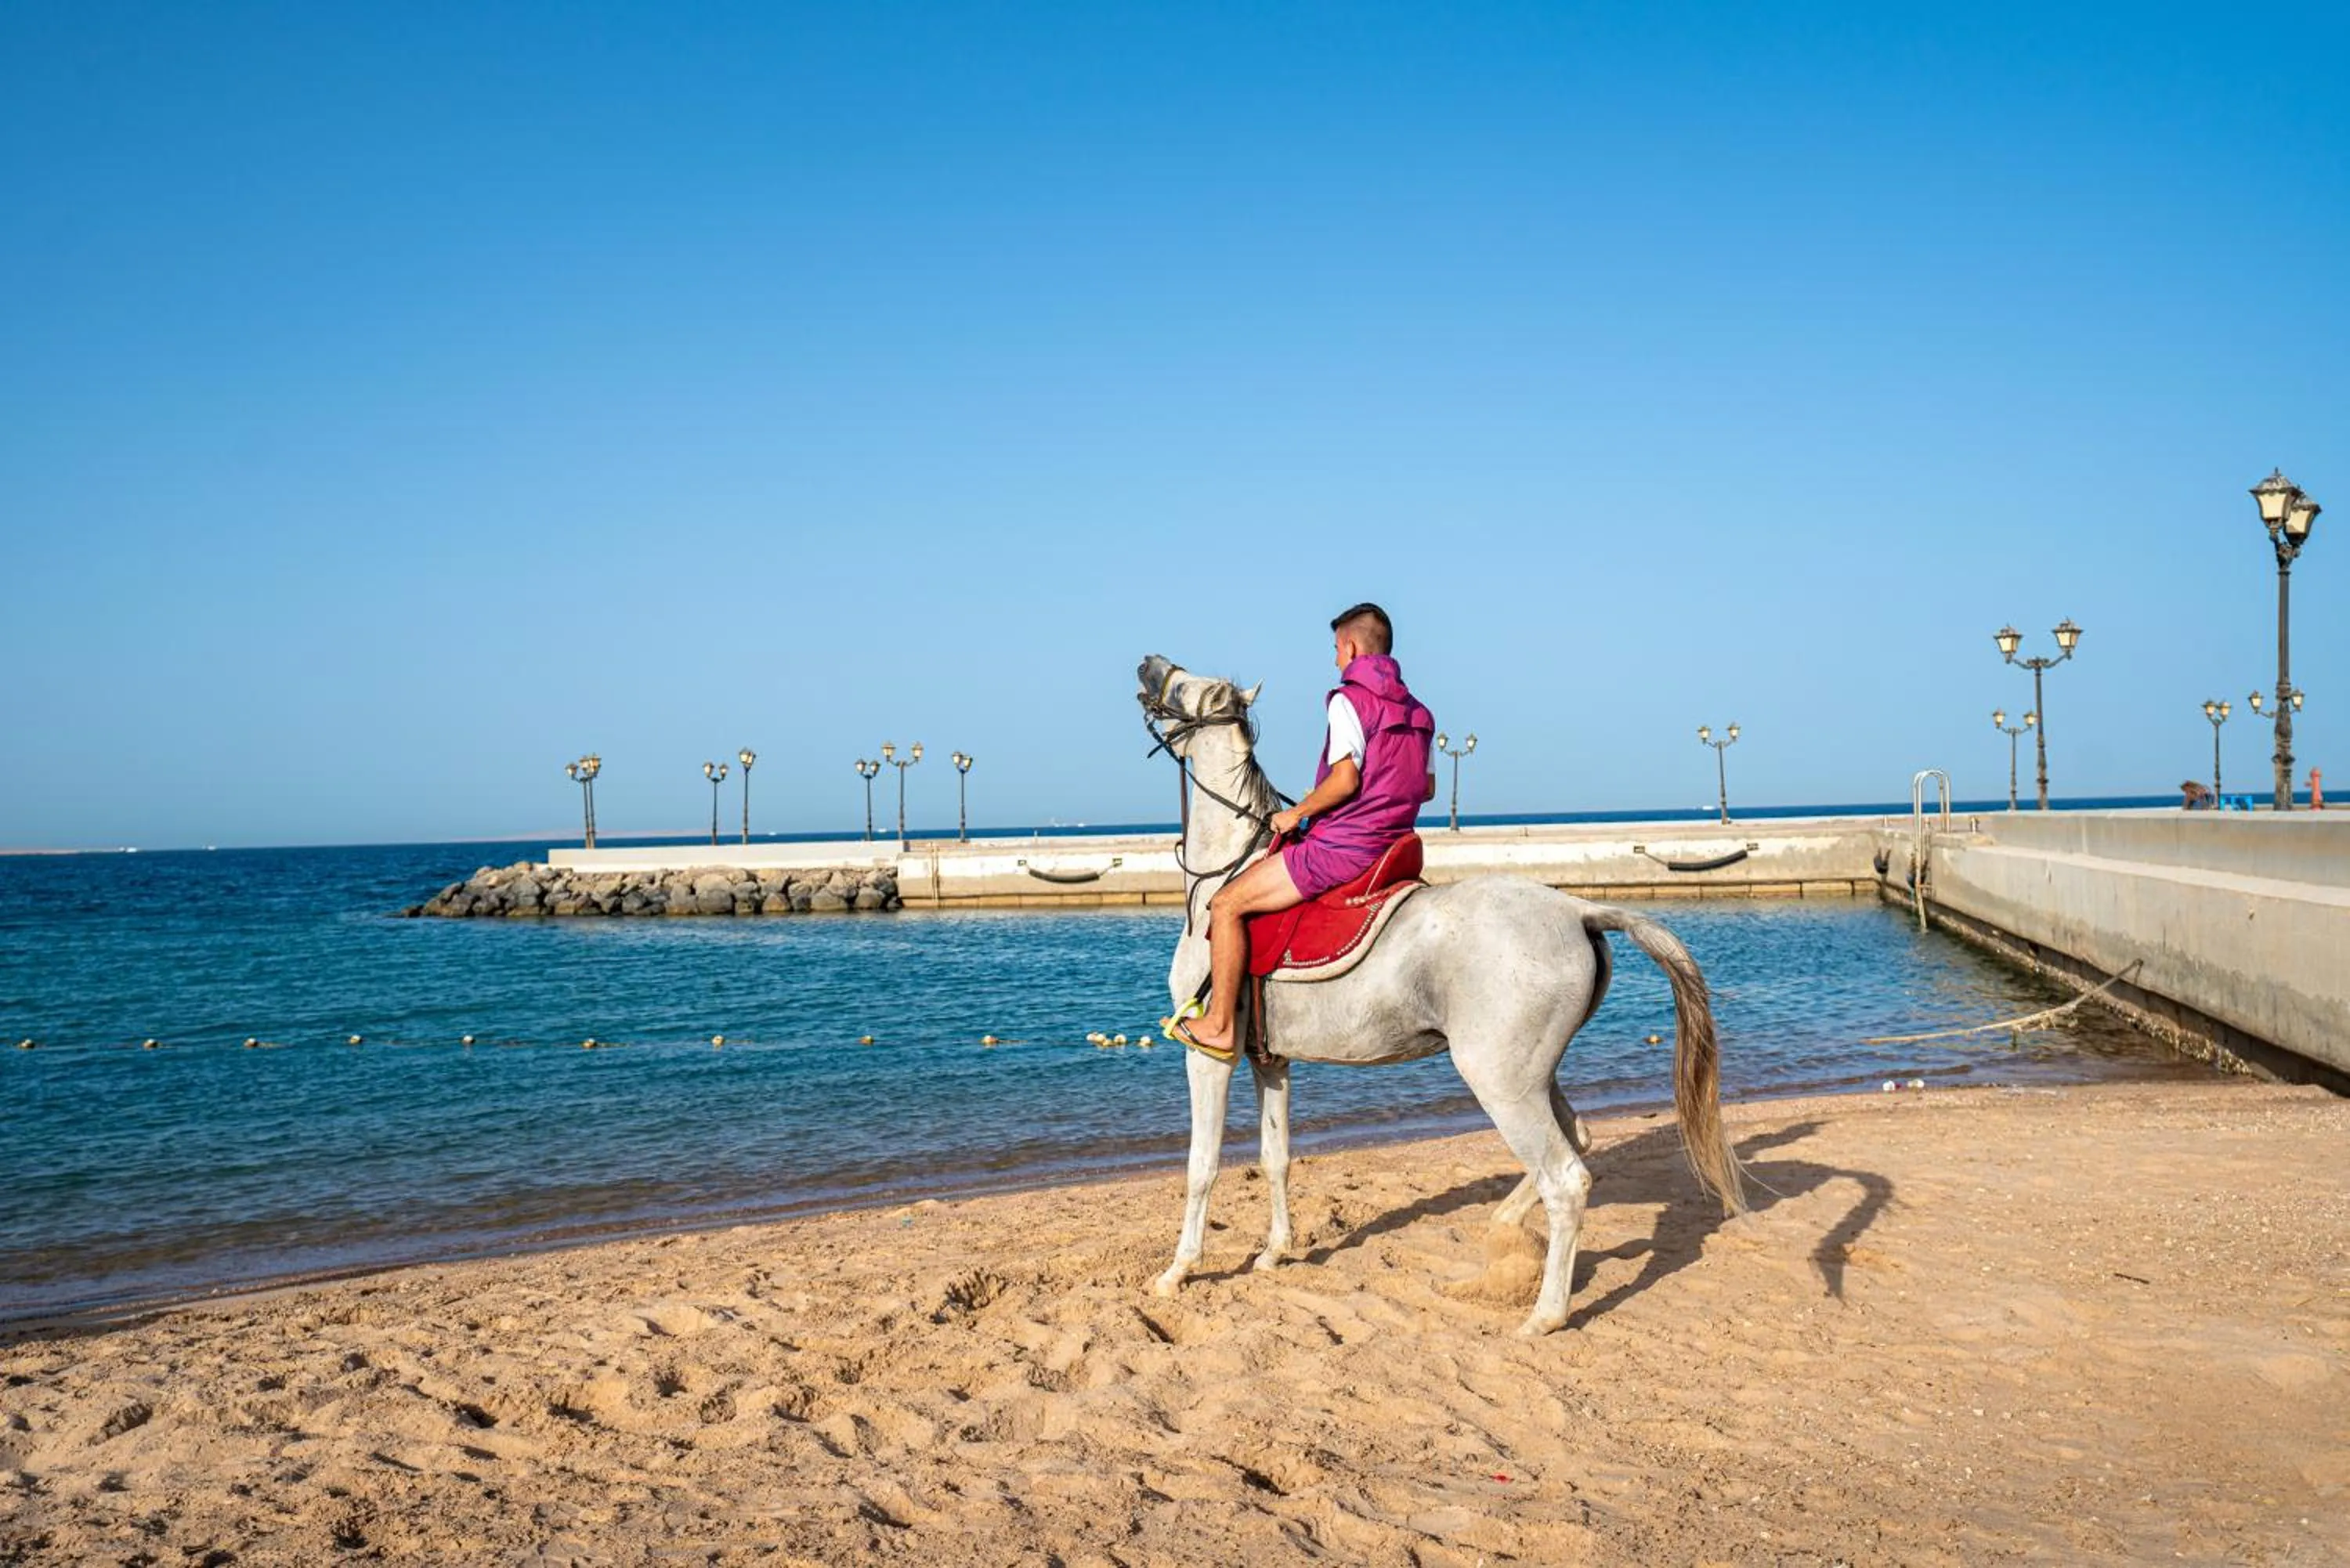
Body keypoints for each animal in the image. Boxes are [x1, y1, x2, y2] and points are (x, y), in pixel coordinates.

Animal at [1137, 654, 1747, 1335]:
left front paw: (1179, 1271)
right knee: (1578, 1141)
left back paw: (1544, 1315)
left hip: (1498, 1081)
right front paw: (1275, 1252)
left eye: (1187, 685)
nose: (1149, 663)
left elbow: (1201, 1166)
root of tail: (1579, 911)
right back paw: (1505, 1233)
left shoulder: (1209, 1055)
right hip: (1531, 1075)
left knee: (1566, 1179)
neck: (1226, 876)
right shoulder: (1272, 1060)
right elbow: (1276, 1157)